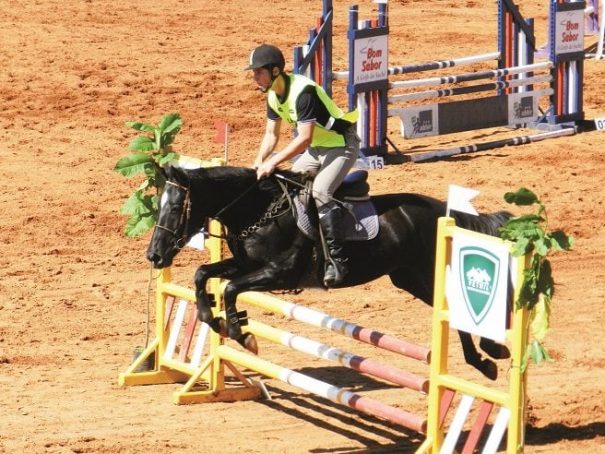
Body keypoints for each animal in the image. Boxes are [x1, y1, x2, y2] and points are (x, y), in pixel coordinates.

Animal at [146, 166, 510, 380]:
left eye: (175, 207)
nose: (154, 255)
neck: (259, 212)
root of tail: (441, 211)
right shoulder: (248, 265)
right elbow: (202, 274)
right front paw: (215, 319)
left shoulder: (279, 273)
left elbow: (231, 289)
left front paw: (242, 334)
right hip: (408, 278)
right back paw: (488, 357)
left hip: (426, 274)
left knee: (454, 308)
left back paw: (488, 358)